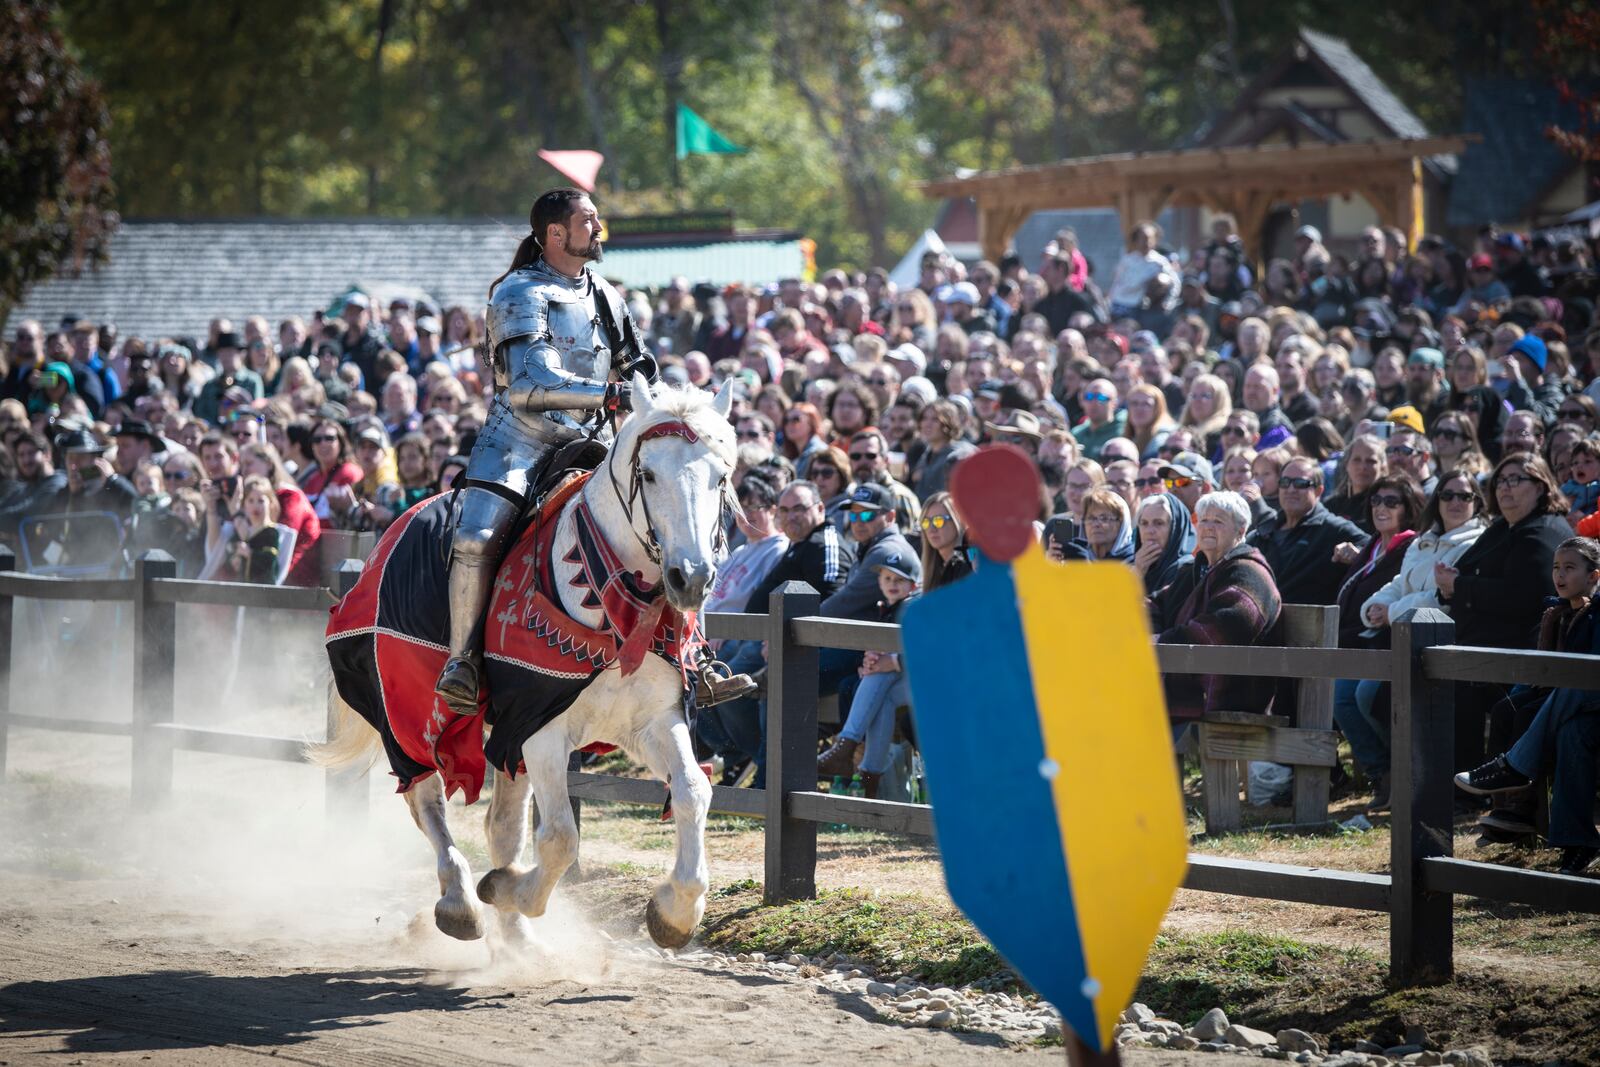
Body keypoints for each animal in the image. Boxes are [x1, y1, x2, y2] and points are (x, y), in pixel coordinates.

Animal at [312, 377, 736, 953]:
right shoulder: (540, 730)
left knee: (500, 824)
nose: (690, 577)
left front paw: (675, 912)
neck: (613, 603)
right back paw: (462, 902)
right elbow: (558, 839)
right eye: (648, 474)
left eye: (721, 476)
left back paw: (519, 944)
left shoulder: (651, 722)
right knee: (427, 801)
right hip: (408, 716)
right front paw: (505, 889)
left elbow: (693, 792)